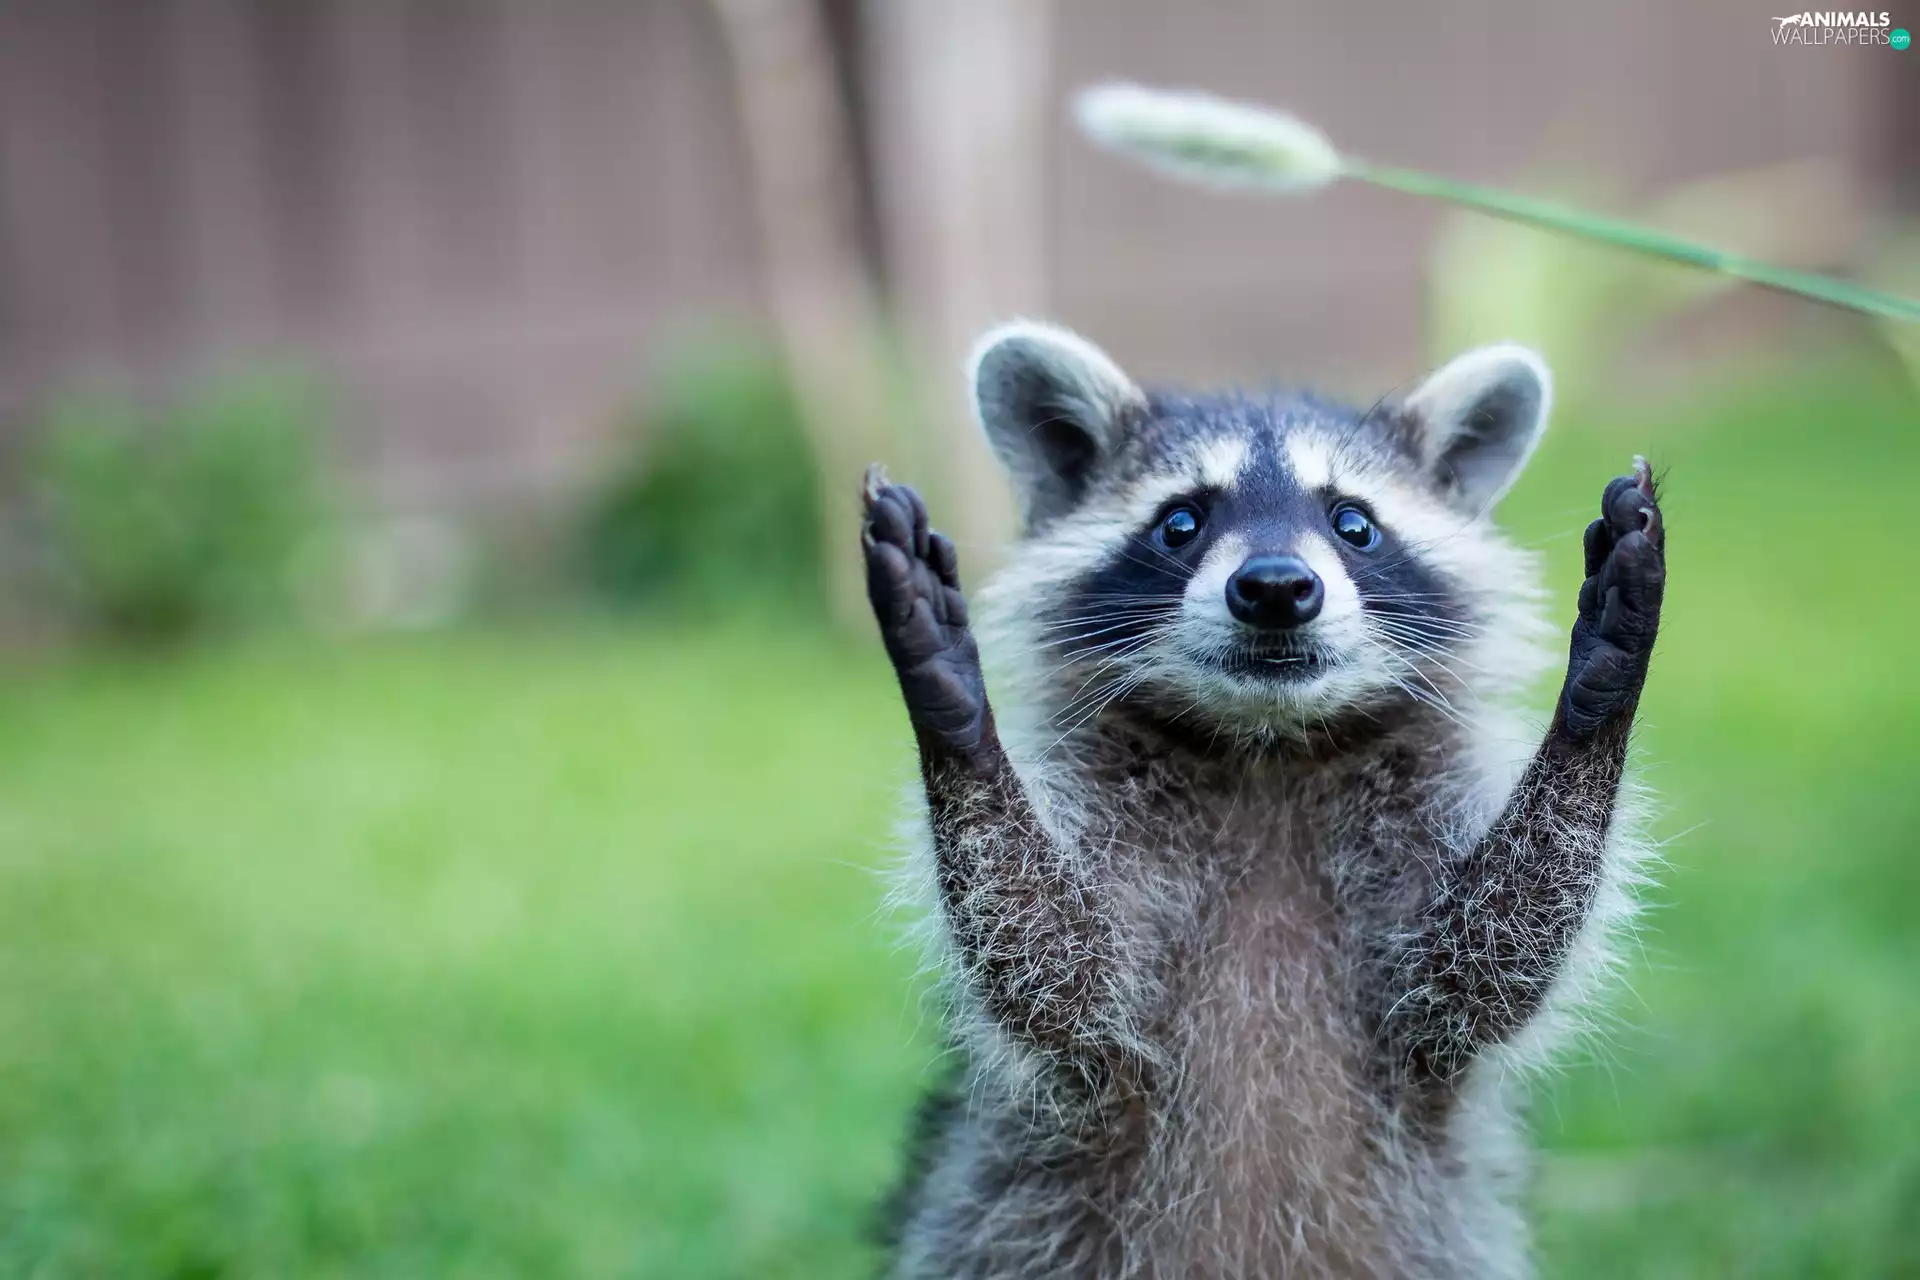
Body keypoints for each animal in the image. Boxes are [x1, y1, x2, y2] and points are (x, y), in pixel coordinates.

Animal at [862, 321, 1665, 1279]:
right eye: (1181, 521)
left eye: (1354, 523)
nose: (1277, 586)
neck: (1267, 748)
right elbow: (1055, 962)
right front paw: (954, 710)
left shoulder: (1421, 838)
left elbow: (1487, 955)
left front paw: (1597, 698)